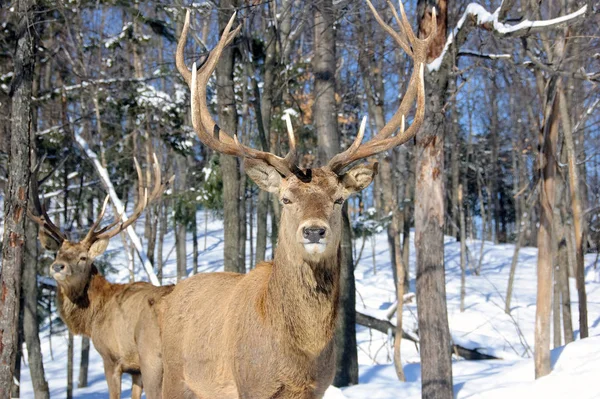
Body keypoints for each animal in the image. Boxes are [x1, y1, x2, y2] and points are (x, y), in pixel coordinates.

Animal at [28, 156, 173, 399]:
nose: (58, 266)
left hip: (155, 359)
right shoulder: (135, 370)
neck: (92, 317)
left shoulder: (111, 357)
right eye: (57, 253)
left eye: (83, 257)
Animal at [161, 1, 436, 398]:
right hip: (170, 374)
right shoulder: (251, 385)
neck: (299, 357)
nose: (314, 231)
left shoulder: (318, 388)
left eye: (339, 200)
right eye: (286, 199)